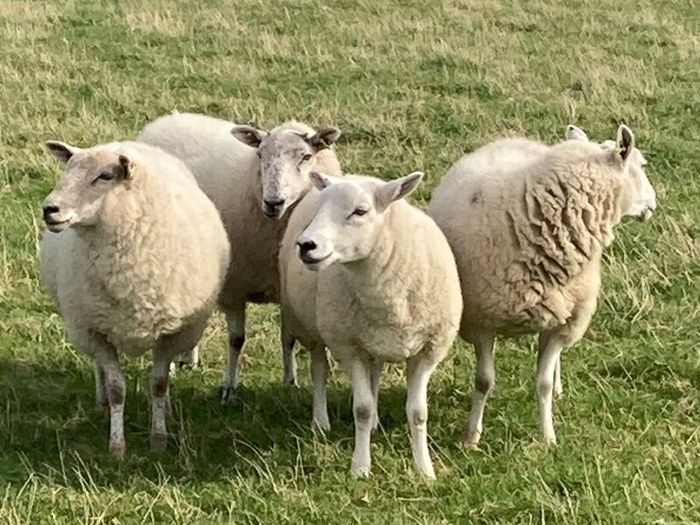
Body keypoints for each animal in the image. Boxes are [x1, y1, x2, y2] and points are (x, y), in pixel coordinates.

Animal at [39, 140, 230, 458]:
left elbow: (159, 384)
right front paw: (117, 446)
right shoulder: (95, 329)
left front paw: (158, 438)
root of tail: (127, 143)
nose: (49, 209)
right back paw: (102, 403)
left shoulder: (173, 332)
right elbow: (117, 388)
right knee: (99, 369)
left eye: (105, 176)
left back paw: (168, 412)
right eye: (67, 169)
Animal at [137, 112, 342, 402]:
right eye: (260, 155)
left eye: (305, 157)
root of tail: (164, 121)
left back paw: (188, 357)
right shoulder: (235, 288)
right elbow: (236, 340)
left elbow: (287, 337)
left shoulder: (285, 290)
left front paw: (290, 382)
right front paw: (229, 389)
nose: (273, 202)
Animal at [282, 171, 462, 477]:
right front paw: (360, 467)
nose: (306, 245)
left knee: (375, 370)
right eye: (320, 208)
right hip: (314, 325)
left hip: (372, 338)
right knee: (319, 368)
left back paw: (376, 423)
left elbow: (418, 412)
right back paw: (320, 421)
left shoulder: (429, 350)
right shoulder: (347, 347)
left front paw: (424, 470)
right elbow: (362, 409)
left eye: (361, 211)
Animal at [427, 124, 656, 446]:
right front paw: (471, 436)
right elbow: (483, 381)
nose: (654, 203)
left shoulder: (565, 322)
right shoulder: (483, 322)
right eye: (641, 164)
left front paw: (547, 436)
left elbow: (543, 382)